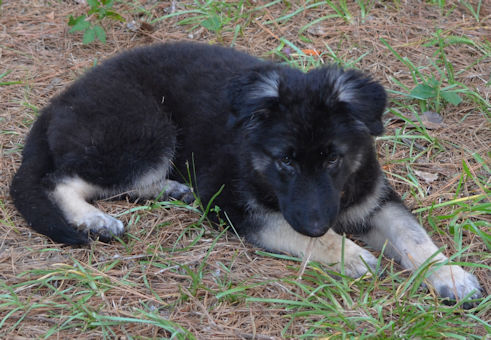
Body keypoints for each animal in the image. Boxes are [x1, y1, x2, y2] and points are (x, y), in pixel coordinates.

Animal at [9, 41, 482, 304]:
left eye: (333, 159)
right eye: (285, 160)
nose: (317, 223)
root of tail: (59, 100)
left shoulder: (377, 199)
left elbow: (414, 237)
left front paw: (450, 276)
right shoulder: (234, 206)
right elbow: (293, 230)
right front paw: (349, 253)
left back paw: (171, 189)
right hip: (145, 132)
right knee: (62, 179)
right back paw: (95, 219)